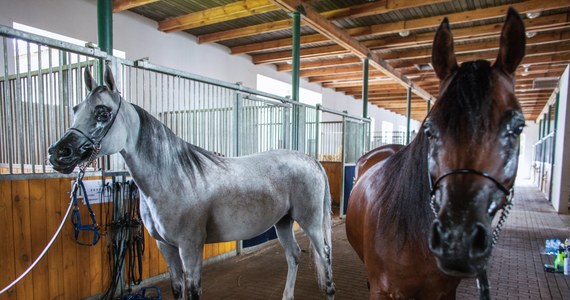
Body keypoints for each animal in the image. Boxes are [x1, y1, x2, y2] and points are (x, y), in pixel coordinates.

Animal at [48, 66, 336, 300]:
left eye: (103, 113)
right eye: (75, 109)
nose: (58, 153)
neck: (173, 178)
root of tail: (311, 161)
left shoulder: (190, 248)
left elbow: (194, 290)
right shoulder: (166, 247)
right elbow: (178, 289)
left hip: (310, 222)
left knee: (325, 257)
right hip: (283, 222)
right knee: (294, 255)